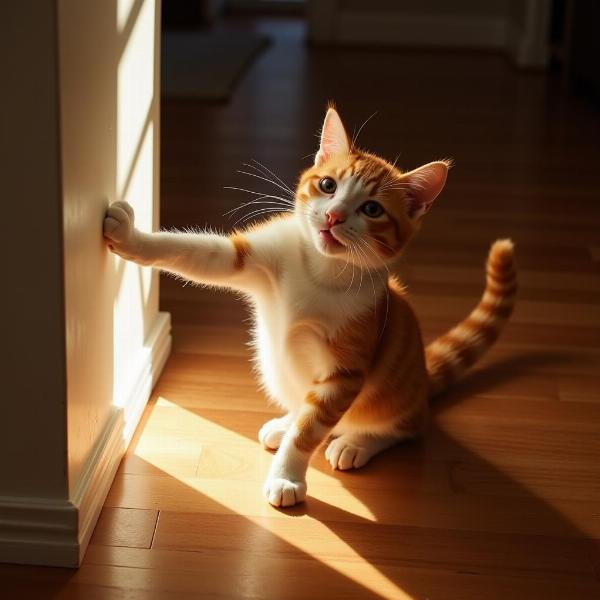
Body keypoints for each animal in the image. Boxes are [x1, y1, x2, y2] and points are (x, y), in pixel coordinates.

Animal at [103, 106, 516, 506]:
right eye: (328, 185)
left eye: (372, 209)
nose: (333, 216)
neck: (320, 271)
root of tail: (424, 377)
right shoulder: (254, 259)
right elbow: (194, 252)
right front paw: (132, 238)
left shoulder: (345, 371)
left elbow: (310, 429)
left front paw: (287, 477)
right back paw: (285, 423)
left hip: (397, 398)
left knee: (408, 425)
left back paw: (357, 442)